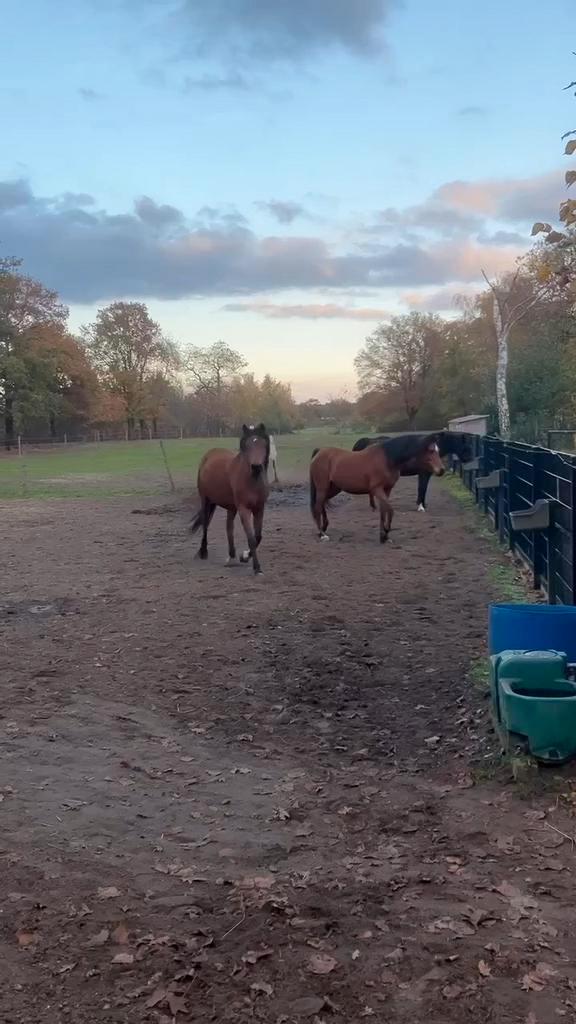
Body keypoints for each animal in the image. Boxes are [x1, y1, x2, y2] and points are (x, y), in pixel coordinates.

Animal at [190, 423, 270, 575]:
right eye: (248, 445)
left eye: (262, 444)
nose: (256, 467)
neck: (251, 480)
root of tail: (209, 455)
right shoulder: (244, 509)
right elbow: (251, 538)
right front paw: (256, 567)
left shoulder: (259, 508)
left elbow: (258, 536)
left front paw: (244, 556)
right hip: (206, 500)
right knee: (205, 524)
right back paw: (203, 552)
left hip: (230, 507)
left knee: (229, 528)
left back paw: (231, 557)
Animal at [310, 433, 445, 544]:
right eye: (431, 450)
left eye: (437, 450)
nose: (442, 470)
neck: (387, 459)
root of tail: (319, 452)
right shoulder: (377, 489)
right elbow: (390, 510)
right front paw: (385, 531)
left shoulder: (387, 489)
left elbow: (383, 511)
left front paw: (384, 536)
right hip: (323, 487)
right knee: (317, 507)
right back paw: (322, 534)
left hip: (333, 488)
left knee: (322, 503)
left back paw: (324, 528)